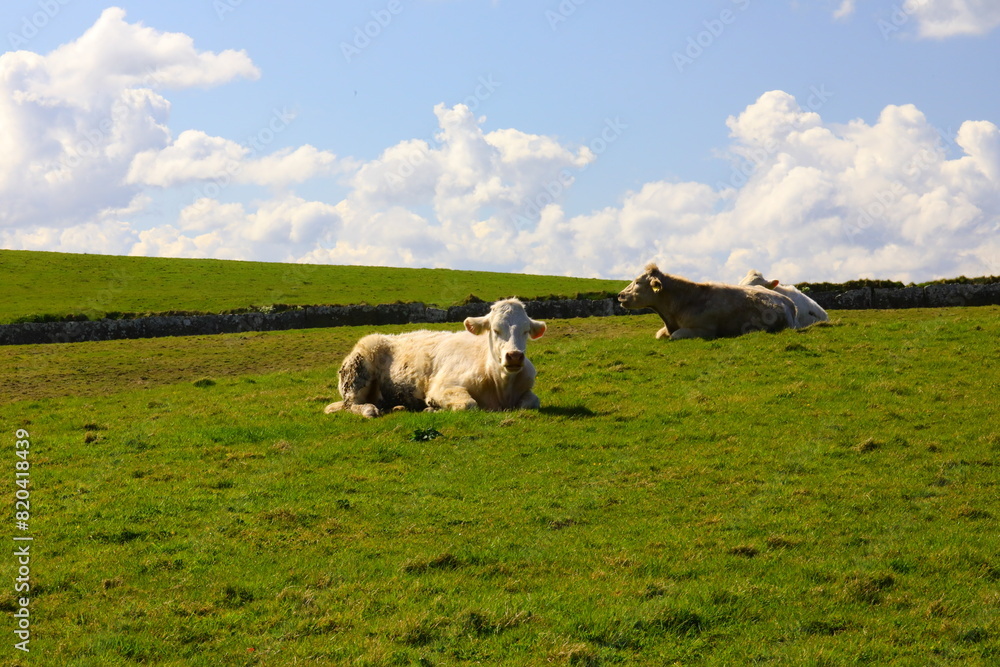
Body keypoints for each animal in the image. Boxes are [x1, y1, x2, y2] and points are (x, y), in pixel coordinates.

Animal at [324, 298, 546, 418]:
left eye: (526, 331)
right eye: (495, 329)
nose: (514, 356)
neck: (500, 386)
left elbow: (532, 402)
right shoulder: (442, 388)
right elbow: (469, 404)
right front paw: (432, 410)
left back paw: (396, 406)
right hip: (357, 372)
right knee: (351, 405)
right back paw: (369, 410)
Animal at [617, 263, 797, 340]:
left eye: (638, 282)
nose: (620, 295)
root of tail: (789, 302)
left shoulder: (704, 330)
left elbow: (674, 336)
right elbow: (659, 335)